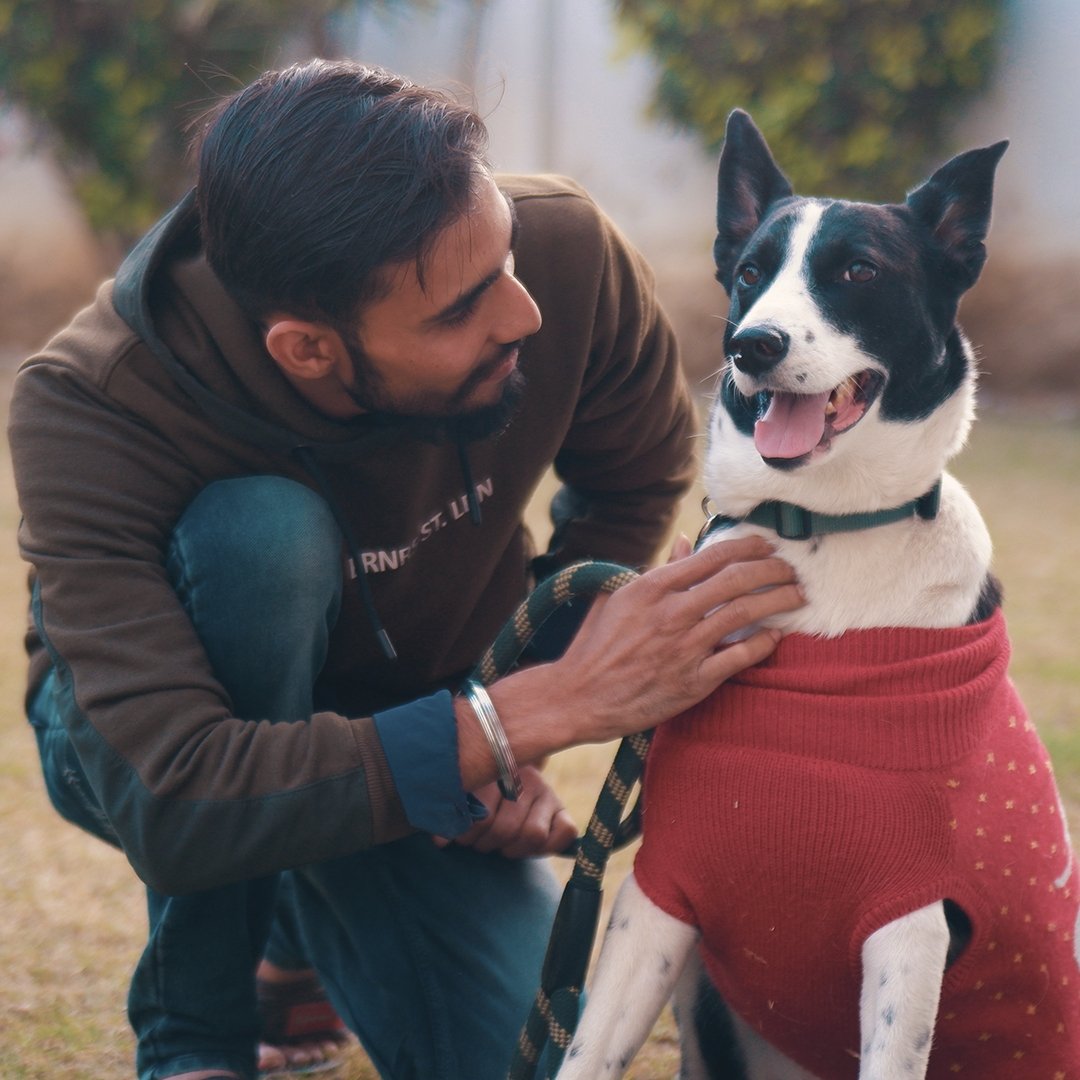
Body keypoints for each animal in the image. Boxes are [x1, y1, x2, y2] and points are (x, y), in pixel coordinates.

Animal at [552, 107, 1080, 1071]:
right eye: (750, 273)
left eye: (858, 273)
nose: (751, 345)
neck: (819, 531)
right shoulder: (657, 895)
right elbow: (586, 1052)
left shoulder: (911, 933)